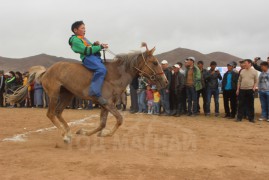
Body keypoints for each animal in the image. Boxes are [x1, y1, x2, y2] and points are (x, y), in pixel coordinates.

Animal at [6, 42, 168, 143]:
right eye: (154, 62)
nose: (165, 81)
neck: (114, 75)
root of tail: (47, 71)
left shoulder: (105, 105)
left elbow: (102, 124)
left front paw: (84, 132)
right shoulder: (107, 104)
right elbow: (119, 119)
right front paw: (103, 133)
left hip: (67, 95)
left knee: (58, 112)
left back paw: (69, 132)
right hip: (54, 94)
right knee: (51, 114)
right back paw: (65, 135)